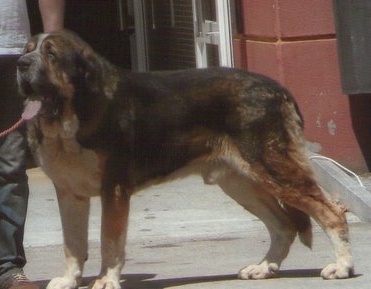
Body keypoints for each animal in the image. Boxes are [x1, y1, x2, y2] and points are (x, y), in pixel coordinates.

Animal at [16, 29, 354, 288]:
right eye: (28, 51)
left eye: (51, 55)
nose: (20, 64)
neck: (71, 113)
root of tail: (279, 88)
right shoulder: (69, 193)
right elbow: (73, 244)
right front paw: (68, 280)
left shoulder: (114, 190)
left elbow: (109, 241)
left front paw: (106, 281)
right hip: (241, 183)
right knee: (283, 225)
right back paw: (263, 267)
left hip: (273, 168)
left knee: (331, 212)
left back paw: (341, 267)